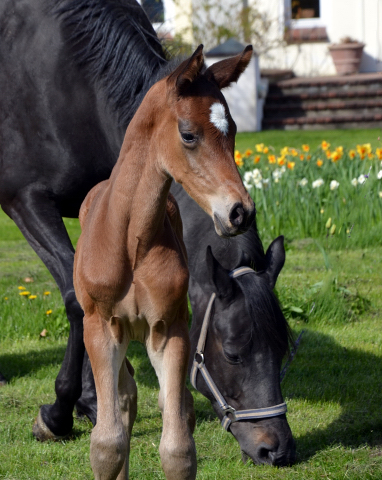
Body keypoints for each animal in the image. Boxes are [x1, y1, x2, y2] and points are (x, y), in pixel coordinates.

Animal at [73, 45, 255, 480]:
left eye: (233, 130)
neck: (131, 241)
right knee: (125, 401)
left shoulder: (168, 330)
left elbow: (177, 447)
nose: (240, 212)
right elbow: (107, 443)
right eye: (188, 134)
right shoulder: (99, 327)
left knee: (174, 408)